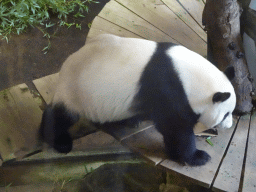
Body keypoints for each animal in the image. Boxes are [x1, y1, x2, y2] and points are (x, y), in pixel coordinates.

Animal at [38, 34, 236, 166]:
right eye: (226, 114)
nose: (229, 126)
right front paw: (197, 157)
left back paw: (131, 120)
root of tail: (65, 67)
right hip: (77, 91)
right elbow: (175, 129)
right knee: (62, 115)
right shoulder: (168, 89)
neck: (190, 76)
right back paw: (59, 141)